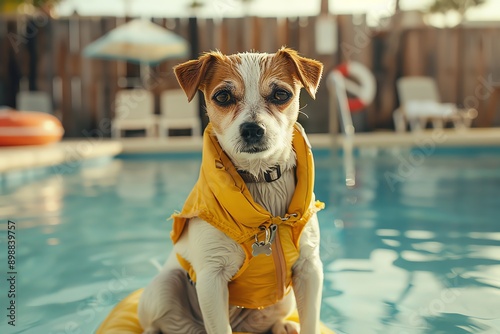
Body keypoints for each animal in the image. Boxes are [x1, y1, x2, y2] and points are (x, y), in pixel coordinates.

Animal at [137, 47, 324, 334]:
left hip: (284, 299)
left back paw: (283, 326)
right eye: (223, 96)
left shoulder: (309, 267)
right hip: (164, 287)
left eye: (281, 94)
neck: (259, 179)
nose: (252, 129)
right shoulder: (211, 279)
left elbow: (311, 323)